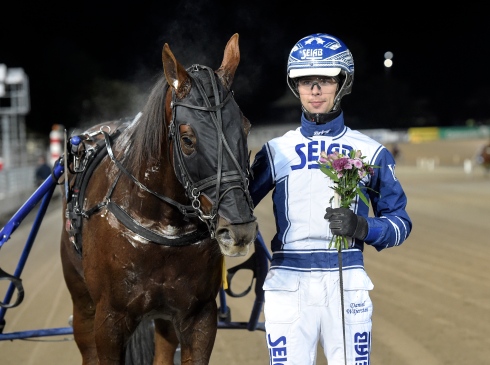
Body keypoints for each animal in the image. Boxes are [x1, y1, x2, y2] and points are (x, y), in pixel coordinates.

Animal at [59, 32, 258, 362]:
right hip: (81, 301)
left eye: (245, 127)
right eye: (188, 138)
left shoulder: (199, 315)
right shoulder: (109, 319)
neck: (160, 227)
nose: (240, 228)